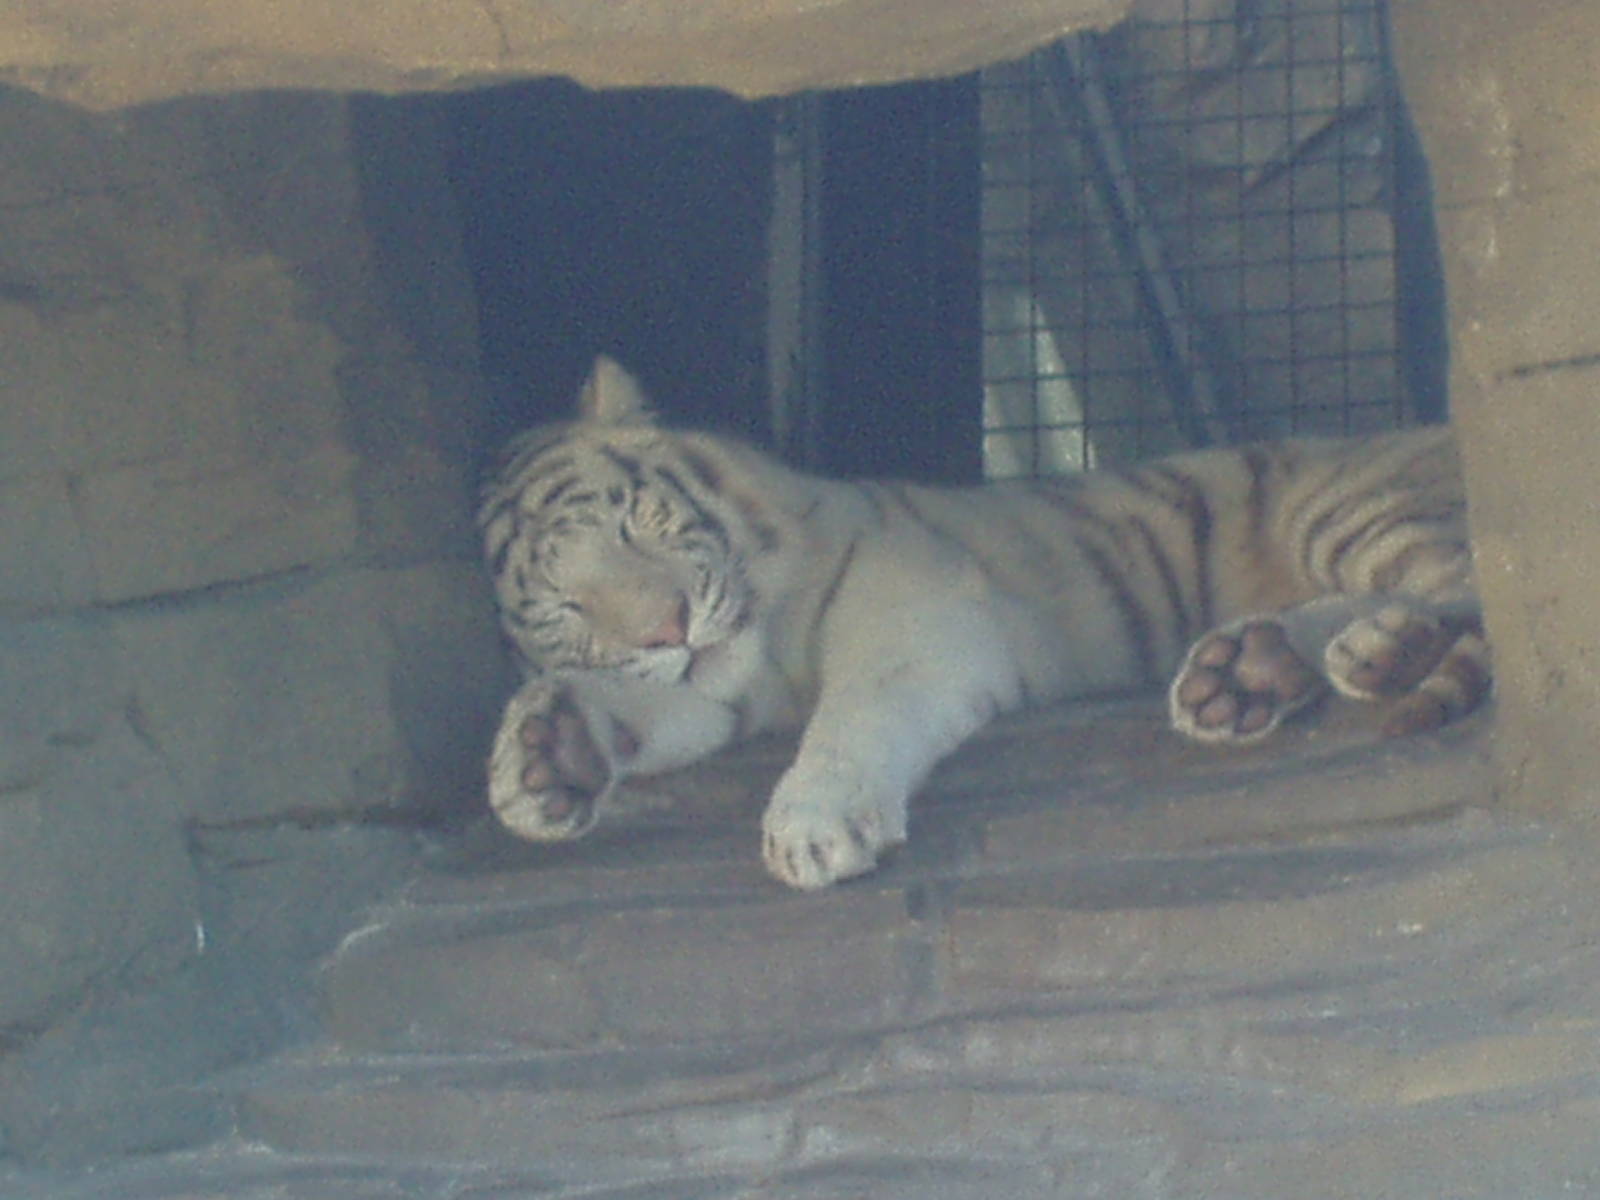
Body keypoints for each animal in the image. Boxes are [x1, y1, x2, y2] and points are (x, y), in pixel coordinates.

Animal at [479, 357, 1489, 890]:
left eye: (631, 523)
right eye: (569, 608)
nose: (669, 625)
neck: (763, 647)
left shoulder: (917, 614)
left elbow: (855, 719)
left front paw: (812, 826)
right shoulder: (715, 688)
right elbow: (646, 706)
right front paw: (543, 759)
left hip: (1352, 505)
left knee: (1473, 582)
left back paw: (1368, 647)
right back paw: (1250, 671)